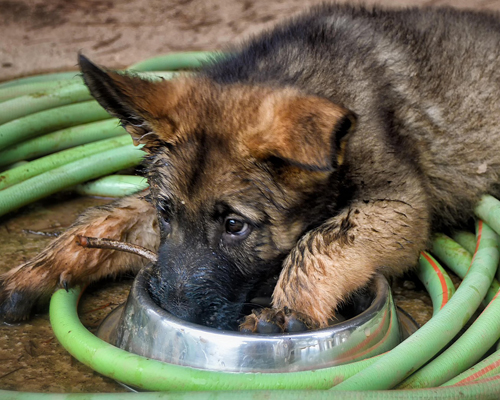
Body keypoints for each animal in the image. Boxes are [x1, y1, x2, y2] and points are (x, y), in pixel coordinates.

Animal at [0, 3, 500, 332]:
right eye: (165, 214)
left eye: (235, 226)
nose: (177, 319)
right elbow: (107, 218)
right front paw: (37, 269)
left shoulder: (401, 203)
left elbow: (323, 239)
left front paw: (288, 310)